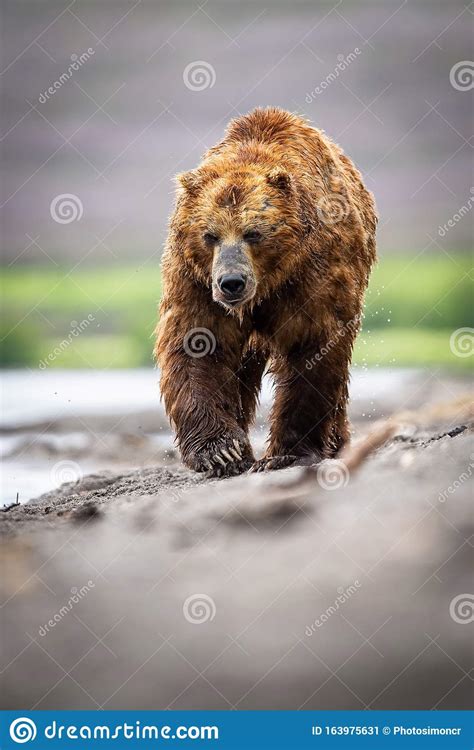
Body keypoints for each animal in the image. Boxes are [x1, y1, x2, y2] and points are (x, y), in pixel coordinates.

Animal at [156, 107, 378, 476]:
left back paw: (336, 442)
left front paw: (288, 453)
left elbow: (312, 346)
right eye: (210, 235)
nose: (232, 282)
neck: (268, 284)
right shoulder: (195, 279)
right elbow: (197, 342)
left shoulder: (312, 274)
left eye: (254, 233)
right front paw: (221, 451)